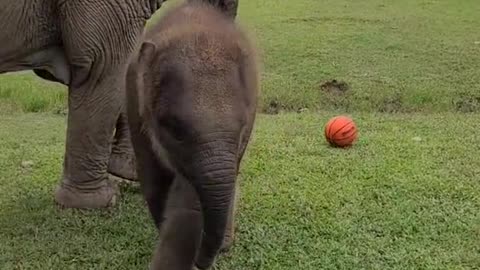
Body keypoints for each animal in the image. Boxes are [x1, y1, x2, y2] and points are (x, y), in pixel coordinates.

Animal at [124, 1, 258, 268]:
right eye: (175, 129)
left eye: (241, 127)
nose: (201, 260)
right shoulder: (134, 104)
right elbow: (154, 183)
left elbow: (191, 203)